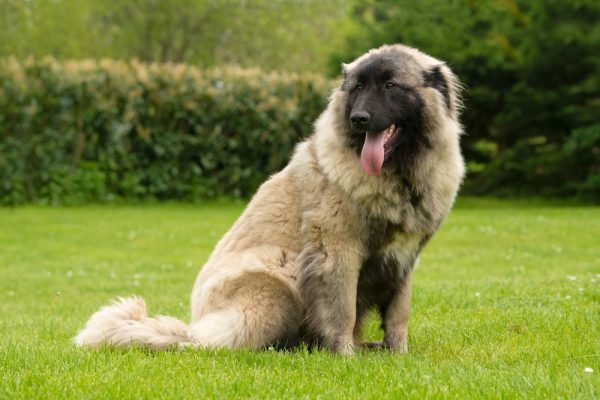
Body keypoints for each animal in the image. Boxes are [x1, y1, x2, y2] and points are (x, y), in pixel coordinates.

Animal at [75, 43, 466, 354]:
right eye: (357, 88)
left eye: (390, 86)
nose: (359, 118)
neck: (399, 175)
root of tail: (193, 328)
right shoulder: (336, 251)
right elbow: (343, 311)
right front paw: (344, 357)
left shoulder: (404, 259)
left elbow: (399, 314)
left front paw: (397, 354)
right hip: (280, 274)